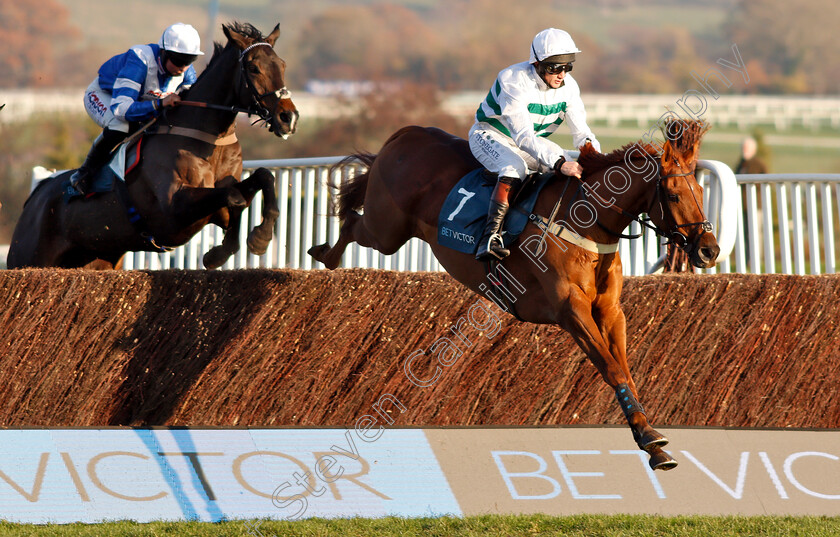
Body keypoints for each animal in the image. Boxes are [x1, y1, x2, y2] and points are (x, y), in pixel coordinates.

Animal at [7, 23, 298, 270]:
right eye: (253, 68)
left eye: (283, 65)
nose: (289, 117)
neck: (207, 140)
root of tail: (36, 195)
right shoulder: (172, 210)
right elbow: (233, 197)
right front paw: (223, 250)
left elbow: (261, 179)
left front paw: (258, 237)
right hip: (29, 258)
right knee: (117, 121)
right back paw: (80, 179)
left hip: (96, 260)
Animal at [312, 118, 720, 468]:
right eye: (672, 194)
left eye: (701, 190)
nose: (709, 250)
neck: (585, 223)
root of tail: (407, 133)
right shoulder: (570, 310)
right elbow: (611, 369)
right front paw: (649, 438)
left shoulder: (608, 310)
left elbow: (625, 369)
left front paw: (650, 438)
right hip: (387, 229)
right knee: (352, 222)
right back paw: (325, 256)